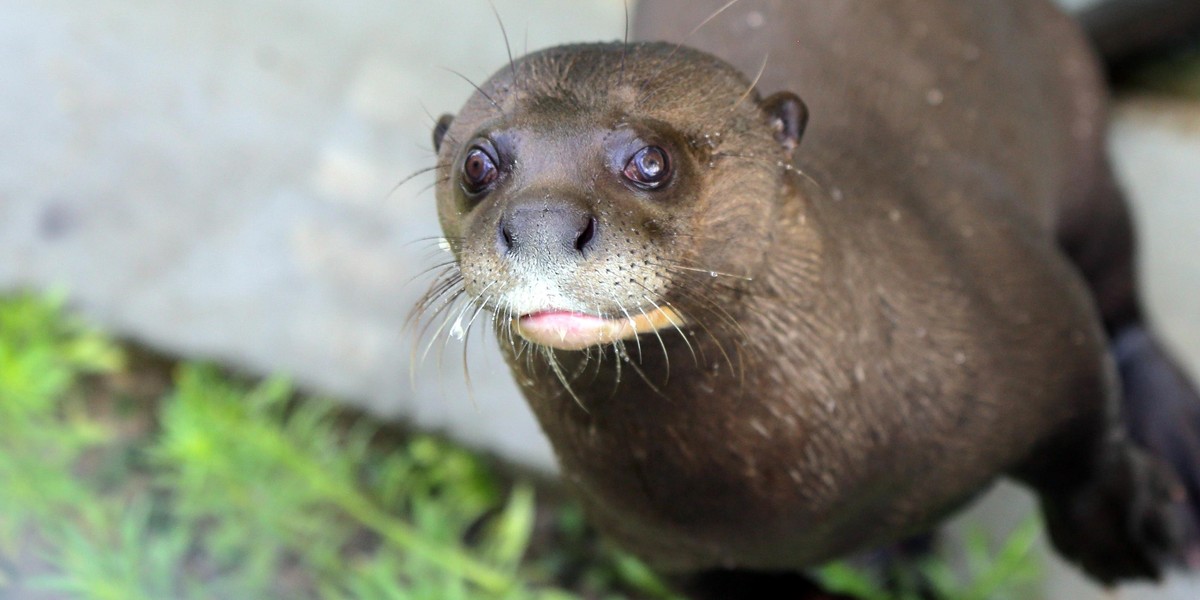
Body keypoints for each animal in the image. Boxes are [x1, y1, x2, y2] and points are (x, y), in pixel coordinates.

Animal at [415, 0, 1200, 590]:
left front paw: (1122, 524)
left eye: (650, 161)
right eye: (478, 164)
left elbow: (1087, 428)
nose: (540, 224)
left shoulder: (1027, 290)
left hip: (1082, 149)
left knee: (1118, 289)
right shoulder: (669, 553)